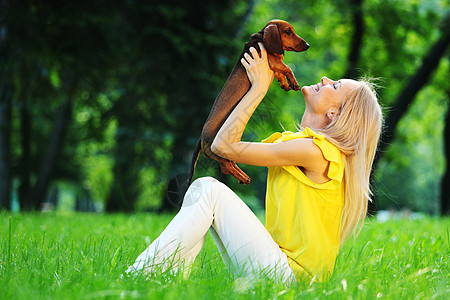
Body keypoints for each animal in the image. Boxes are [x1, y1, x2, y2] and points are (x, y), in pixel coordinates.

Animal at [187, 19, 310, 185]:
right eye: (288, 31)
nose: (307, 45)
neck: (262, 39)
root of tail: (201, 137)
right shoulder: (271, 60)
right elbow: (287, 67)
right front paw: (293, 82)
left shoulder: (272, 64)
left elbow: (280, 72)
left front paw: (285, 83)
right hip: (219, 152)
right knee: (226, 167)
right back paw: (243, 177)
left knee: (230, 164)